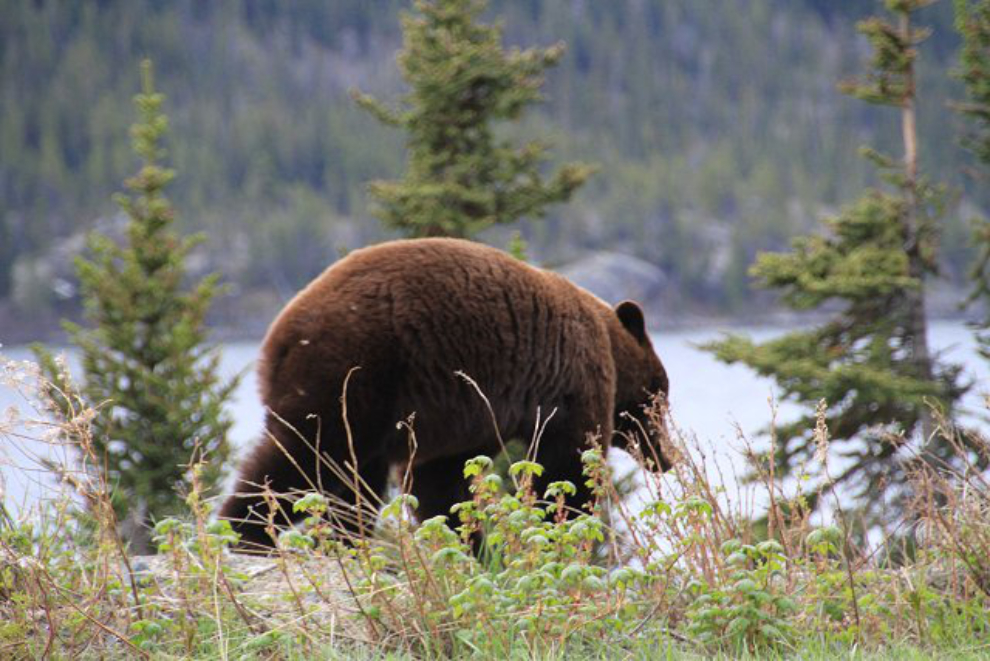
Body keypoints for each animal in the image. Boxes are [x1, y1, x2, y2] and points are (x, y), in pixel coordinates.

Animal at [220, 236, 672, 548]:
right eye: (660, 395)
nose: (666, 458)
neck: (609, 342)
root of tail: (279, 336)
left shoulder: (459, 417)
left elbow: (440, 483)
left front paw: (468, 544)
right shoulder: (570, 383)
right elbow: (568, 466)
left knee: (353, 482)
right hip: (350, 374)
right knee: (302, 455)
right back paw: (245, 533)